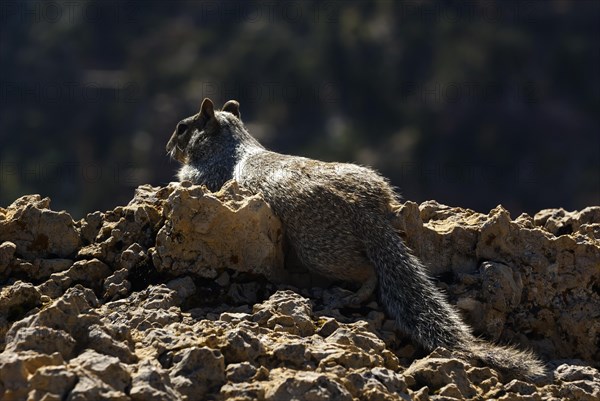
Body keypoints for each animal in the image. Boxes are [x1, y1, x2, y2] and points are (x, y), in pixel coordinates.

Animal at [166, 98, 548, 380]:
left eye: (182, 127)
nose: (169, 147)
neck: (233, 143)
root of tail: (365, 212)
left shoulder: (204, 175)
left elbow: (191, 181)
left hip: (319, 248)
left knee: (367, 272)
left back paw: (349, 296)